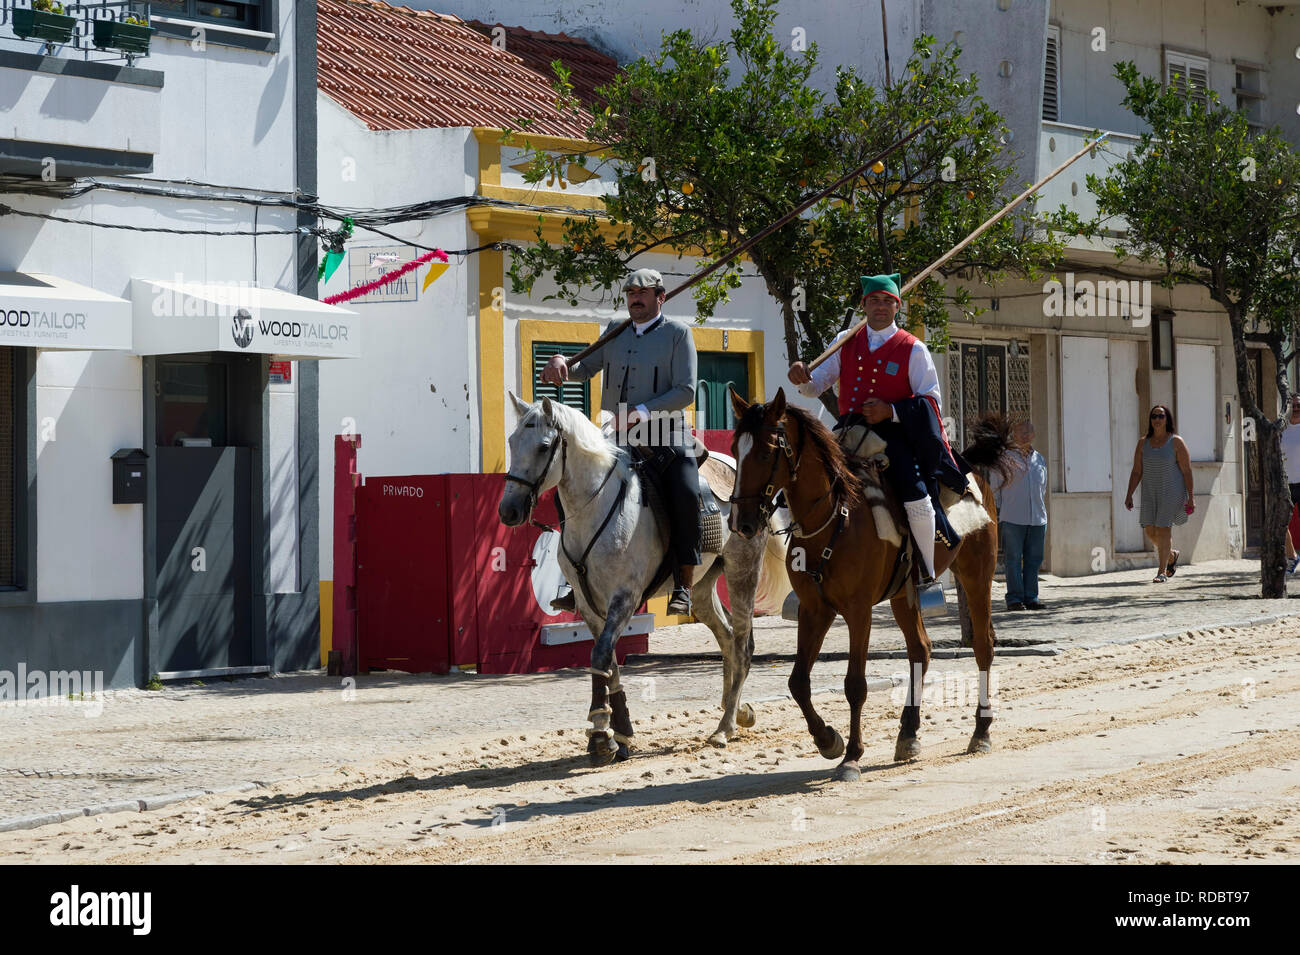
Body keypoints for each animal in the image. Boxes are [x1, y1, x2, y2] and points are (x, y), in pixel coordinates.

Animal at [496, 392, 780, 764]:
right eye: (512, 442)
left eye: (544, 446)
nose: (508, 510)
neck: (596, 507)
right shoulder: (589, 604)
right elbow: (609, 663)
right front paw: (621, 733)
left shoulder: (624, 599)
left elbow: (600, 657)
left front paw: (601, 737)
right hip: (703, 587)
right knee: (728, 638)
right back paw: (735, 711)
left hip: (742, 570)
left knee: (743, 644)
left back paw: (725, 727)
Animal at [728, 389, 1008, 784]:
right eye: (735, 449)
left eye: (767, 452)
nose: (743, 522)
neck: (835, 517)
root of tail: (967, 465)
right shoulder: (814, 610)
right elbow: (798, 682)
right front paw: (827, 739)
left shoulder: (858, 612)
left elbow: (855, 685)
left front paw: (851, 757)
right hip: (903, 595)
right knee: (920, 649)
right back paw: (908, 733)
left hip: (976, 573)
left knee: (983, 645)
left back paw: (981, 731)